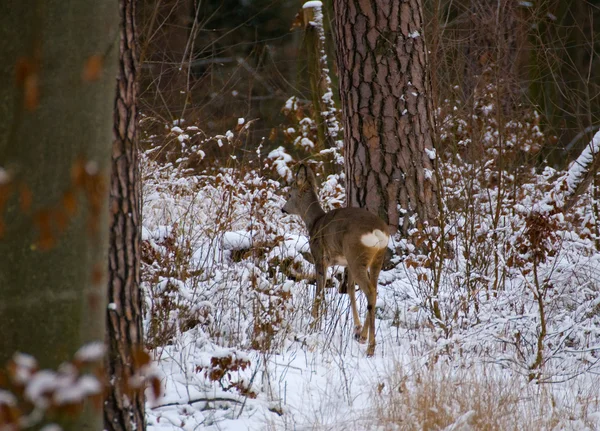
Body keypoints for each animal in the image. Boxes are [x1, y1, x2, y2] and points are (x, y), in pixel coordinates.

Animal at [282, 164, 390, 356]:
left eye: (289, 194)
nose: (283, 209)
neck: (314, 222)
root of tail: (378, 232)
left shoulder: (319, 257)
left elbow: (320, 290)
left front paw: (313, 324)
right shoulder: (345, 263)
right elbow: (350, 290)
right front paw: (356, 327)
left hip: (356, 255)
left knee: (370, 291)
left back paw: (370, 347)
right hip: (374, 258)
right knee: (374, 290)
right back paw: (362, 336)